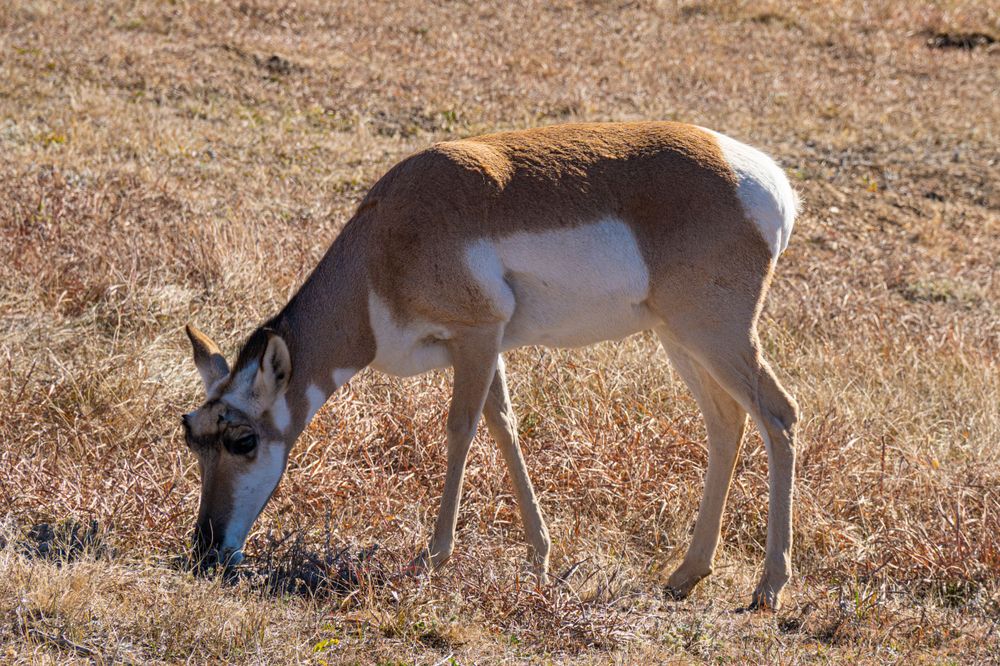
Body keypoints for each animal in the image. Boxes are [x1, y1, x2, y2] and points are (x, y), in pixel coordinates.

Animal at [181, 121, 800, 609]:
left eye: (242, 440)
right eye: (190, 434)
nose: (205, 550)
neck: (384, 246)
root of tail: (762, 177)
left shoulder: (476, 337)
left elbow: (461, 429)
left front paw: (433, 558)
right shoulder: (488, 347)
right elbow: (505, 427)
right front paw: (539, 559)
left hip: (717, 335)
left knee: (779, 414)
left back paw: (767, 589)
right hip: (681, 339)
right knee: (727, 422)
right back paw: (685, 576)